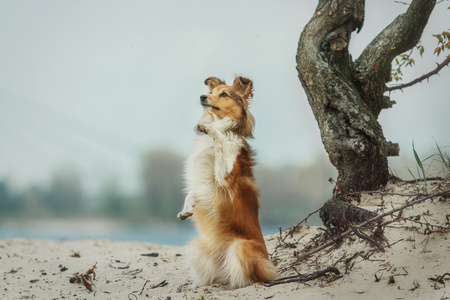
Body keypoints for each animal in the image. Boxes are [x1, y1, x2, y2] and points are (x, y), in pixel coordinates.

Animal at [177, 76, 278, 288]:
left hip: (241, 246)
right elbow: (193, 192)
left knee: (250, 276)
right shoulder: (206, 186)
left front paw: (210, 129)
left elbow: (220, 140)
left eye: (224, 94)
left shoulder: (225, 178)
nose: (202, 96)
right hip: (198, 247)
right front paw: (186, 210)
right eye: (212, 92)